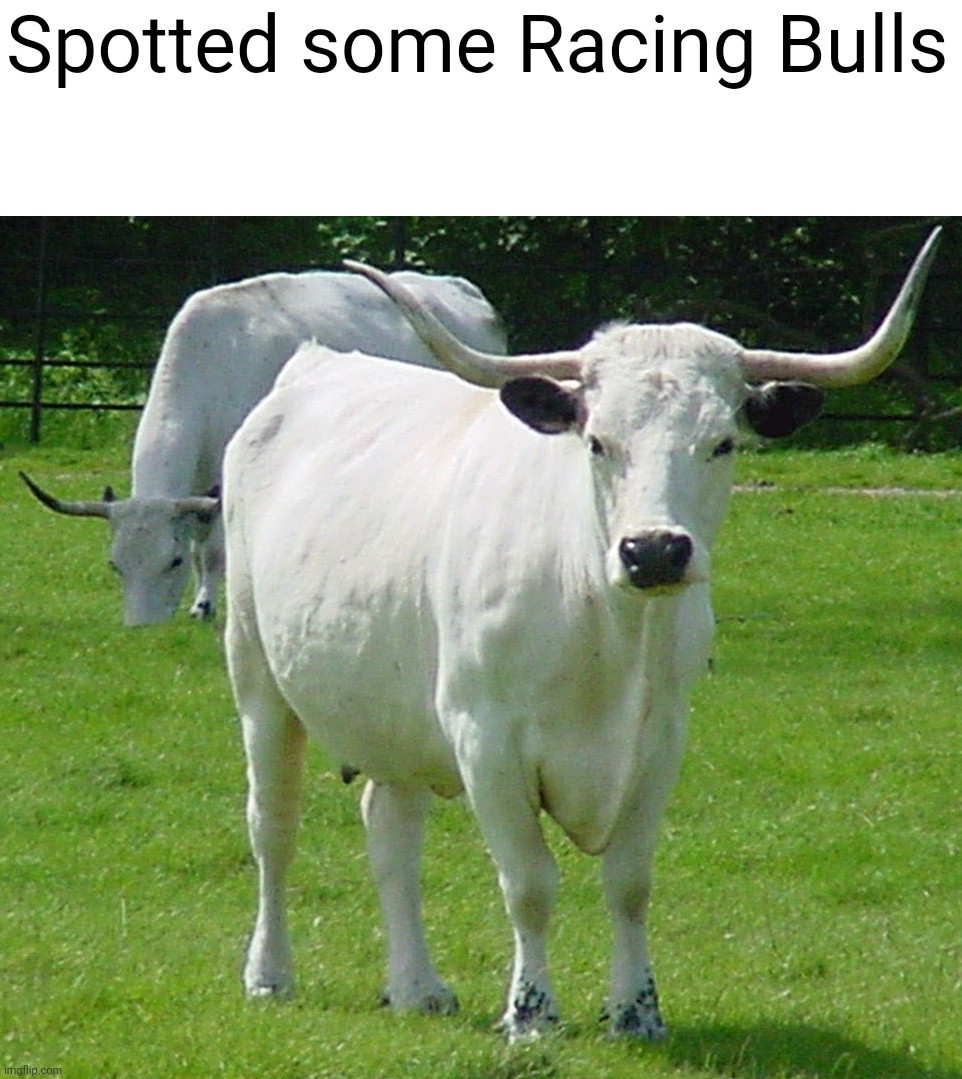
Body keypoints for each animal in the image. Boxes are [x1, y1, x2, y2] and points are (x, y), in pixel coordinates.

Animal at [19, 268, 506, 626]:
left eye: (171, 562)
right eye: (116, 564)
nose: (142, 628)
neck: (212, 363)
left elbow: (211, 550)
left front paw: (204, 606)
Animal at [222, 230, 939, 1041]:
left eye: (722, 442)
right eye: (597, 441)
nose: (654, 550)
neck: (606, 631)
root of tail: (314, 366)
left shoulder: (660, 741)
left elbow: (629, 882)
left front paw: (636, 1011)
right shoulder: (486, 738)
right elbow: (529, 883)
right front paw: (531, 1013)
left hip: (392, 711)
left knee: (391, 829)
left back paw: (417, 986)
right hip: (258, 679)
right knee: (273, 824)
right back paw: (270, 974)